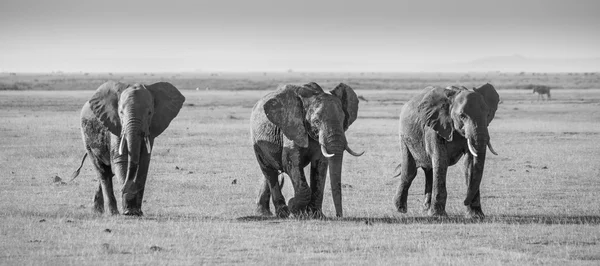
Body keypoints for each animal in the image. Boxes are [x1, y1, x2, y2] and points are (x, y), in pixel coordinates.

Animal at [70, 81, 184, 216]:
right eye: (121, 113)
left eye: (150, 113)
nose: (124, 188)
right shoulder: (115, 124)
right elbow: (121, 160)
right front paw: (128, 211)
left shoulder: (150, 127)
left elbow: (144, 161)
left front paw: (135, 212)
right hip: (86, 137)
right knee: (102, 171)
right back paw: (112, 212)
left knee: (107, 173)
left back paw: (99, 211)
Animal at [251, 82, 364, 217]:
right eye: (316, 121)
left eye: (343, 120)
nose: (339, 216)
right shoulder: (292, 126)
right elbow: (290, 163)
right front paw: (294, 208)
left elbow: (321, 165)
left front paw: (317, 215)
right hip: (256, 141)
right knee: (269, 171)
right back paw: (281, 213)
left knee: (272, 171)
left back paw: (264, 213)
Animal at [394, 83, 502, 218]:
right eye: (462, 116)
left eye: (488, 114)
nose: (464, 201)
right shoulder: (434, 126)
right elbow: (441, 160)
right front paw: (438, 216)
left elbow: (470, 163)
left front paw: (476, 216)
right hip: (404, 136)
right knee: (410, 171)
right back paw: (401, 209)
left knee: (429, 170)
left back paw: (425, 209)